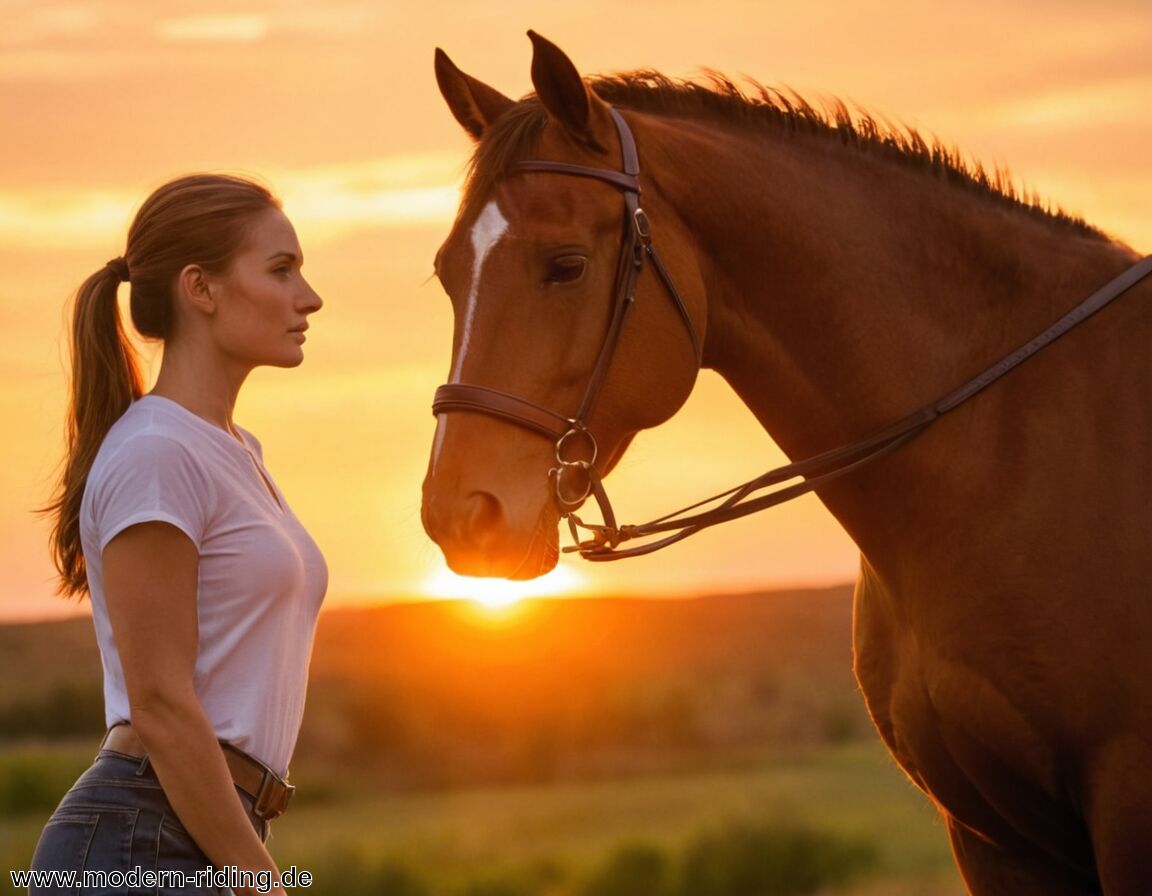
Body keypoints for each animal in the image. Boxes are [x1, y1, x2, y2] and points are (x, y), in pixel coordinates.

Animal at [420, 31, 1152, 894]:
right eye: (446, 272)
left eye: (565, 265)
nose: (459, 516)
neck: (1000, 451)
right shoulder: (992, 840)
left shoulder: (1128, 805)